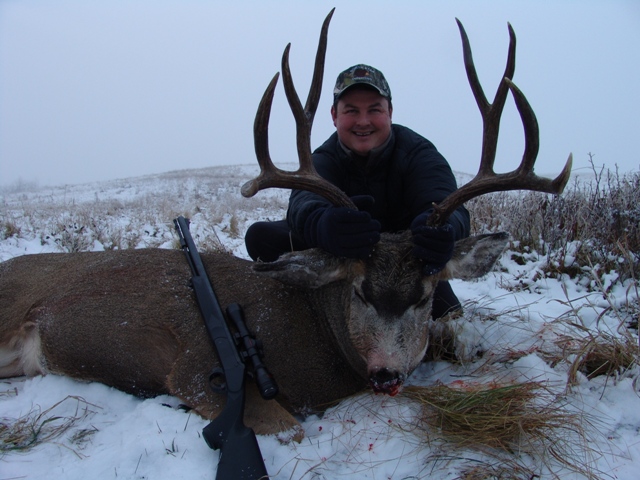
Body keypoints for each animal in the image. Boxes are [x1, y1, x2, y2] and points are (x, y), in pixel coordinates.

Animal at [0, 10, 568, 438]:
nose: (386, 374)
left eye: (426, 294)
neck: (313, 333)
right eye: (359, 290)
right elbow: (288, 427)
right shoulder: (192, 368)